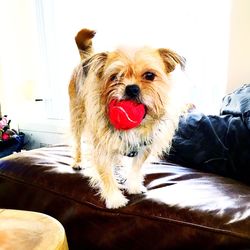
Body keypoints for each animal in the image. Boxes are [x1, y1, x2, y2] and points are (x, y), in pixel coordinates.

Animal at [69, 27, 186, 209]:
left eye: (149, 76)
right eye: (115, 77)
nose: (131, 88)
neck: (136, 126)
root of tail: (86, 59)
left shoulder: (143, 145)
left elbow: (136, 167)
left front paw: (133, 186)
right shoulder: (102, 147)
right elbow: (106, 173)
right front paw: (114, 198)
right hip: (77, 118)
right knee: (77, 142)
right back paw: (78, 161)